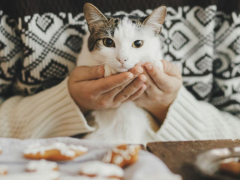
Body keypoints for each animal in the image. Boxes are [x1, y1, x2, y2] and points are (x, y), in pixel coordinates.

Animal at [77, 3, 167, 145]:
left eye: (138, 43)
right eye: (108, 42)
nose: (122, 59)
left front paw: (154, 62)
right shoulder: (83, 58)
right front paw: (109, 68)